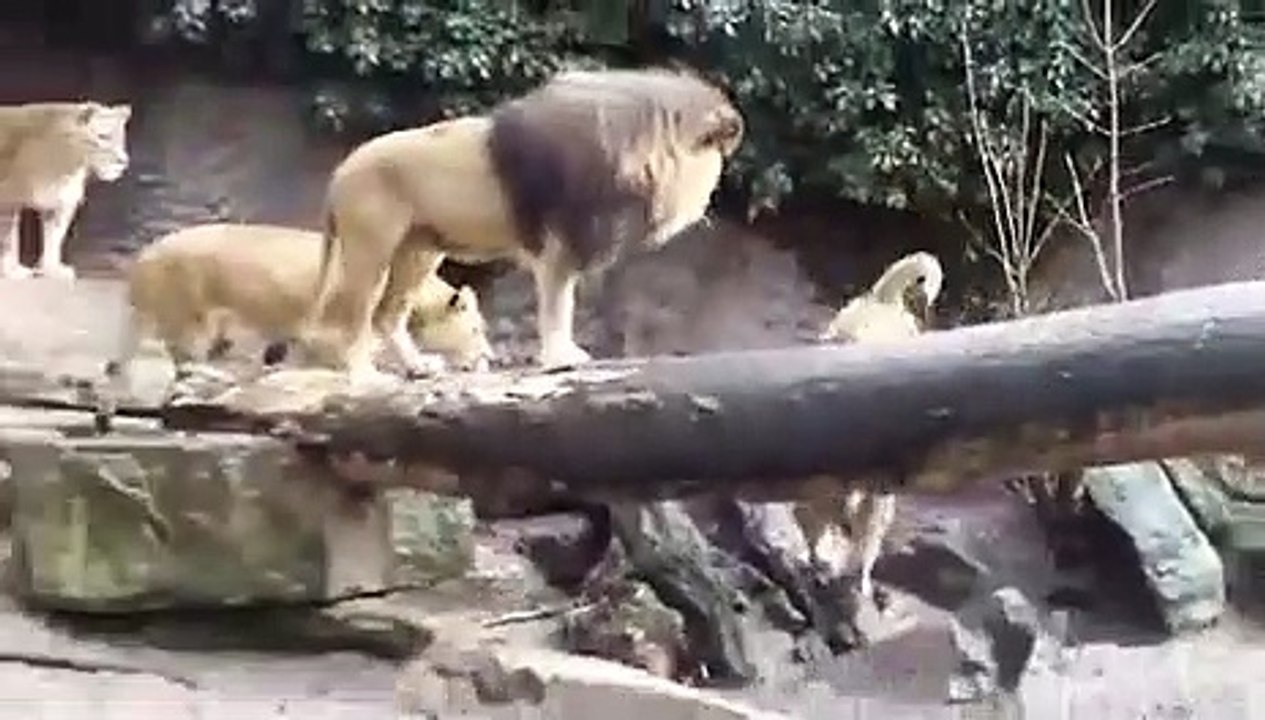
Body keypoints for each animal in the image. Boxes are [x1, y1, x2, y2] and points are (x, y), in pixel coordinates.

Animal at [0, 101, 132, 280]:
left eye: (121, 139)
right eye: (103, 137)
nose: (123, 161)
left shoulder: (58, 203)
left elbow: (54, 238)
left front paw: (51, 269)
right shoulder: (8, 200)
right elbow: (8, 240)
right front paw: (12, 270)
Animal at [104, 222, 494, 391]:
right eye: (476, 329)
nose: (490, 357)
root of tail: (144, 257)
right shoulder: (332, 320)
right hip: (191, 295)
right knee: (185, 349)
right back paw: (214, 371)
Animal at [298, 66, 745, 382]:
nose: (706, 202)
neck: (643, 146)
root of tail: (340, 173)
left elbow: (563, 305)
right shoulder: (559, 244)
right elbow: (558, 306)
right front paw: (560, 359)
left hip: (419, 251)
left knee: (387, 316)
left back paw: (418, 368)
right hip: (370, 250)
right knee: (356, 317)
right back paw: (365, 377)